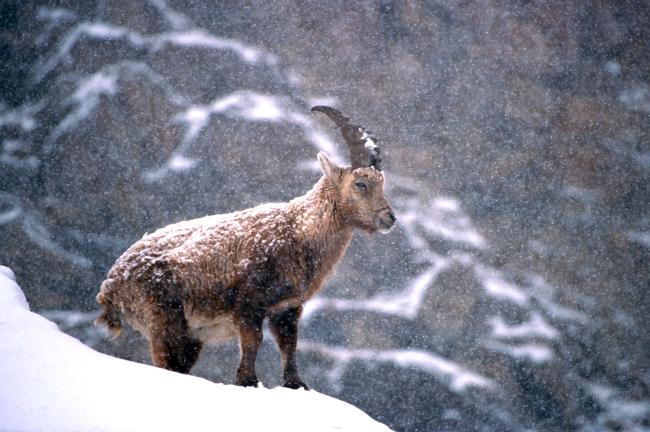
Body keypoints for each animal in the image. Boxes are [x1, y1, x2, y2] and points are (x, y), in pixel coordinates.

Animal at [95, 106, 396, 389]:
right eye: (360, 183)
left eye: (382, 183)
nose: (390, 218)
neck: (297, 231)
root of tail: (110, 285)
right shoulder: (249, 302)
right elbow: (253, 340)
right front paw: (247, 380)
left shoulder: (288, 308)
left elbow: (289, 344)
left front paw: (296, 384)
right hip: (163, 319)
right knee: (164, 363)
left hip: (190, 337)